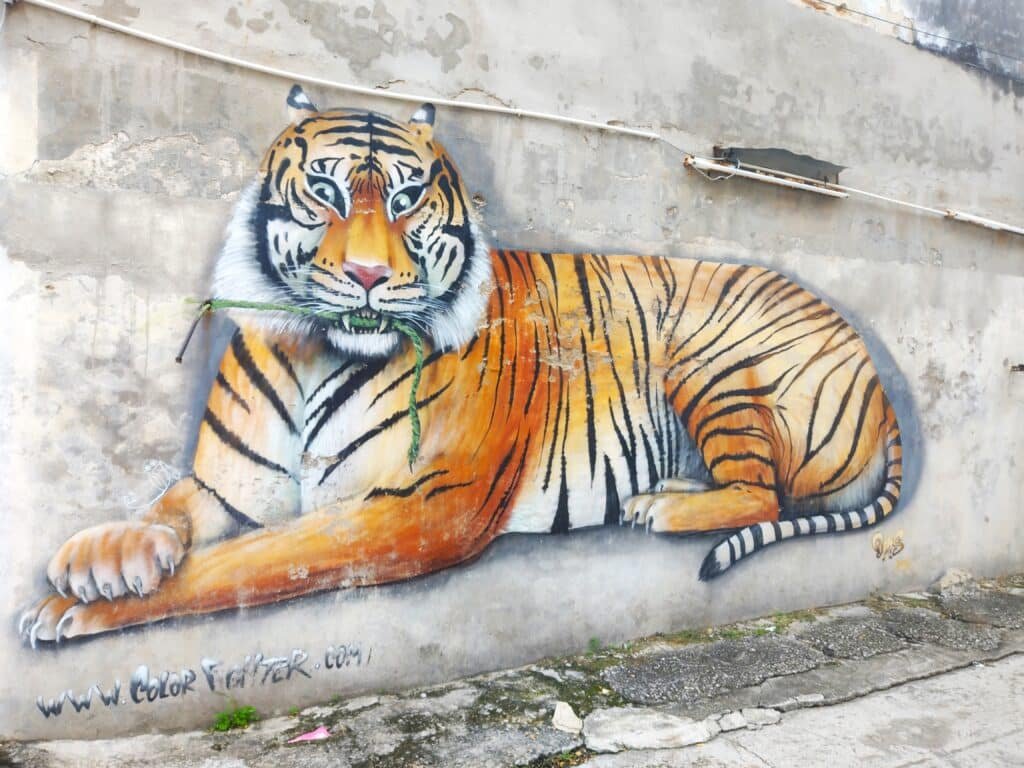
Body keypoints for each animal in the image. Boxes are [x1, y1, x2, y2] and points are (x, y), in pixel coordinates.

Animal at [19, 85, 902, 646]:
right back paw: (667, 492)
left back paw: (662, 509)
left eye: (406, 199)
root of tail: (870, 360)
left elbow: (246, 562)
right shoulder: (225, 485)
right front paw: (98, 558)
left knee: (765, 492)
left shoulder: (417, 504)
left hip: (710, 359)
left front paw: (69, 610)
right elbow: (167, 508)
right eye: (326, 195)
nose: (369, 275)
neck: (314, 350)